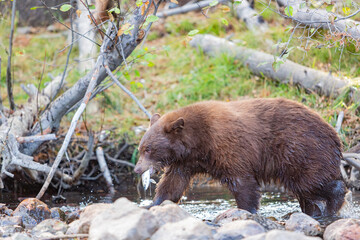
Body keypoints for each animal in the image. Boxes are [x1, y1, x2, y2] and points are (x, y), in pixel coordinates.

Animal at [134, 98, 348, 217]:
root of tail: (335, 135)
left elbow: (242, 181)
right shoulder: (186, 162)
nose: (137, 169)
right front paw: (153, 204)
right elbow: (172, 184)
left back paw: (333, 204)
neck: (198, 141)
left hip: (300, 150)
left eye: (148, 149)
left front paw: (247, 210)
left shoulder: (229, 148)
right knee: (307, 192)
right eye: (141, 147)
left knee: (311, 182)